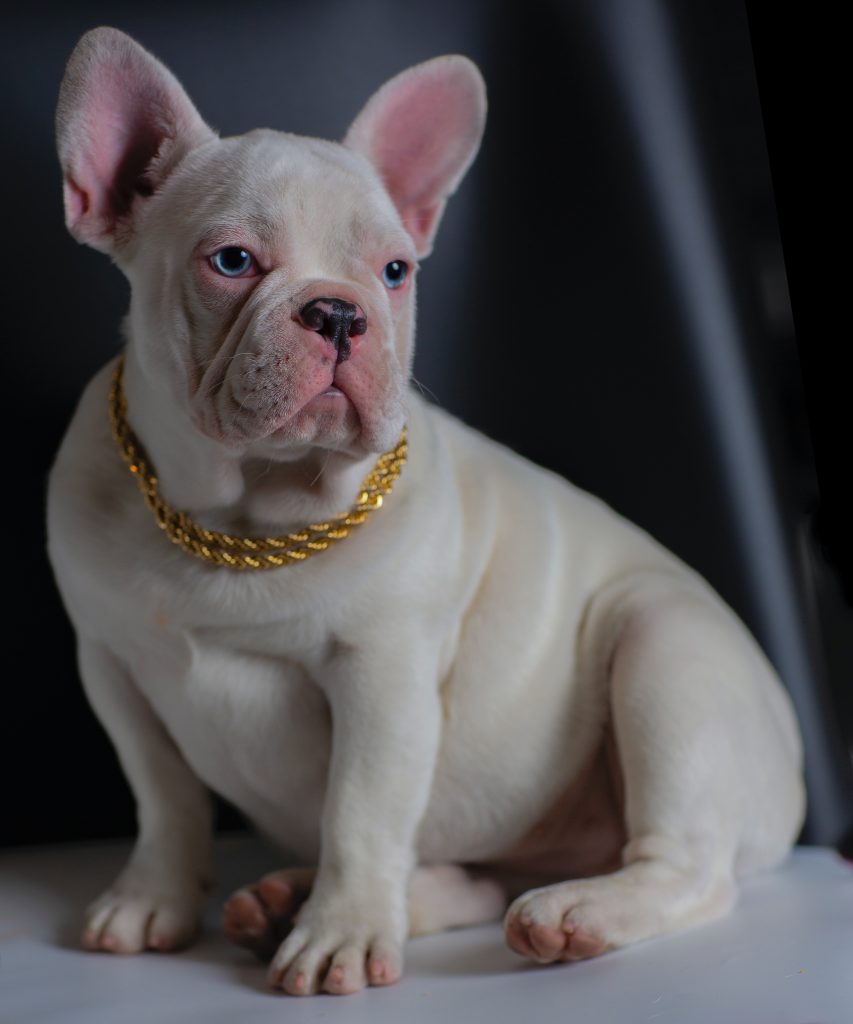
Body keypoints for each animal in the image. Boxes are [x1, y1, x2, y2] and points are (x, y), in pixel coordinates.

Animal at [48, 25, 806, 999]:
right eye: (232, 262)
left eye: (395, 271)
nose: (340, 312)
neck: (242, 524)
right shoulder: (112, 664)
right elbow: (162, 794)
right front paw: (155, 898)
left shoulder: (383, 677)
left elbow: (360, 809)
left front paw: (338, 933)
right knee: (480, 880)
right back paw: (303, 902)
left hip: (665, 649)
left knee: (685, 866)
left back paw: (577, 913)